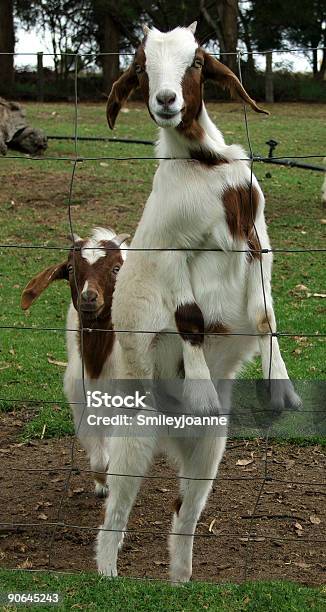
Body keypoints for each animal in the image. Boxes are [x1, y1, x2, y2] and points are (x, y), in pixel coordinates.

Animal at [20, 228, 129, 498]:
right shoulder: (80, 400)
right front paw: (102, 483)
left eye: (116, 268)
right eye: (70, 268)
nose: (89, 297)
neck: (97, 364)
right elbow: (99, 456)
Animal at [95, 22, 302, 580]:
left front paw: (281, 388)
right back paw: (108, 575)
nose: (166, 101)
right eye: (141, 67)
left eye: (196, 62)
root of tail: (172, 429)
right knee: (117, 507)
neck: (204, 166)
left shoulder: (256, 236)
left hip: (209, 447)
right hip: (134, 425)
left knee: (182, 513)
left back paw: (182, 581)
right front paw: (204, 390)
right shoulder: (171, 250)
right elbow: (189, 319)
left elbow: (265, 314)